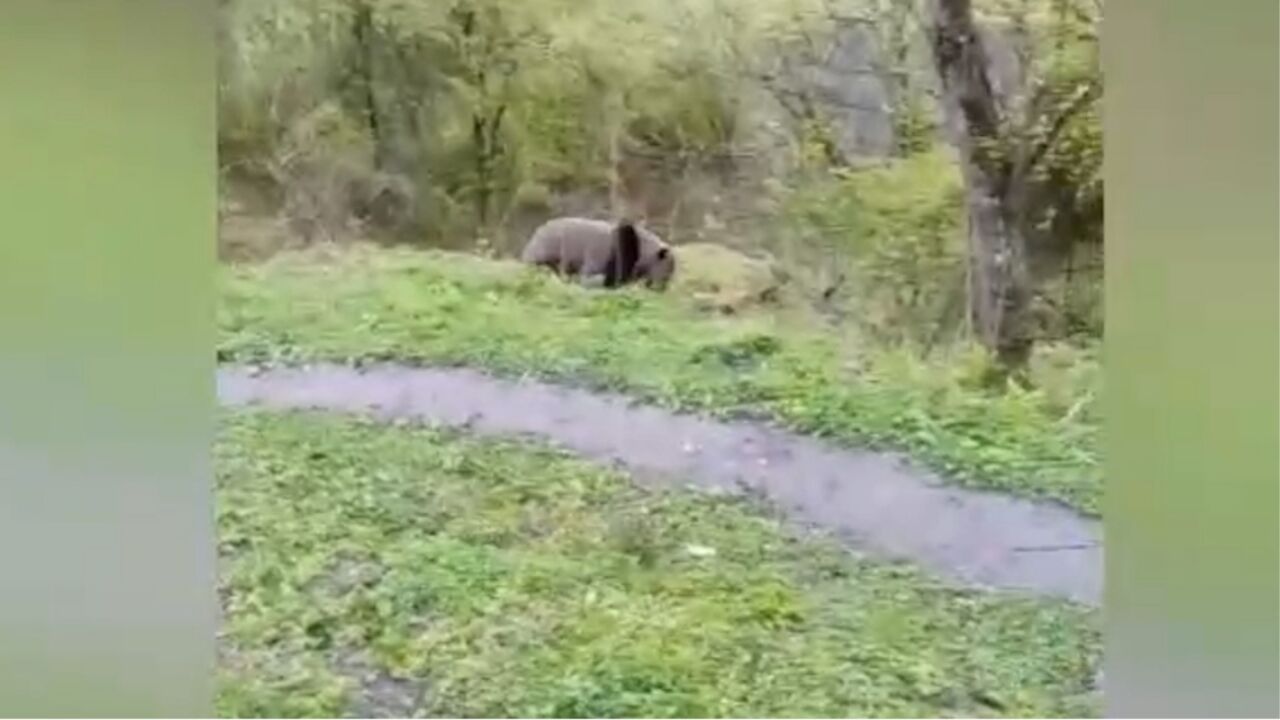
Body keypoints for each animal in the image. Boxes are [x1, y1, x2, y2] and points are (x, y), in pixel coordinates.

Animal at [519, 215, 680, 288]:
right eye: (667, 271)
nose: (661, 288)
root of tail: (539, 229)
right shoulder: (600, 254)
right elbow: (590, 276)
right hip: (546, 248)